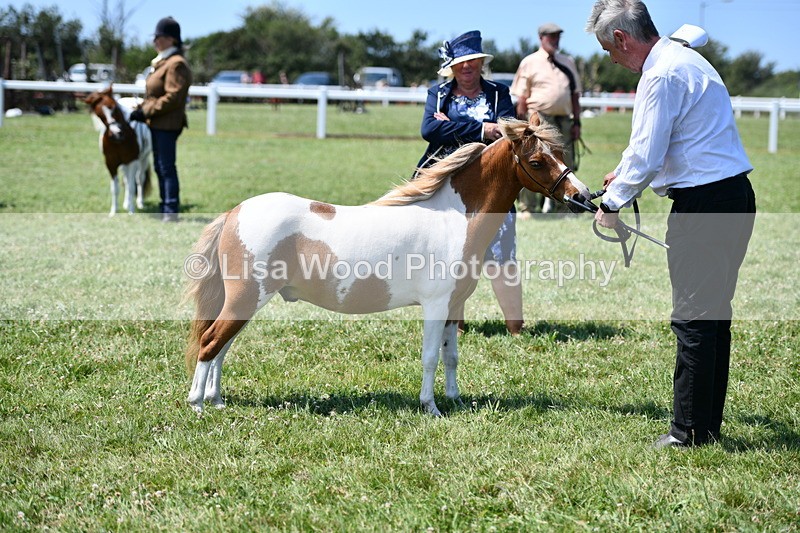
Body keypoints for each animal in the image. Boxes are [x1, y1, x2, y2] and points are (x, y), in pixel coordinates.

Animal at [84, 86, 152, 216]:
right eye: (99, 114)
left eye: (113, 107)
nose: (116, 134)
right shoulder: (111, 163)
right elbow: (115, 188)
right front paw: (113, 212)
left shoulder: (132, 161)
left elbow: (132, 186)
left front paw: (131, 211)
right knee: (126, 180)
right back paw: (126, 203)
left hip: (143, 159)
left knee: (139, 179)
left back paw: (139, 203)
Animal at [184, 115, 591, 416]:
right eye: (537, 161)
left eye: (559, 151)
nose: (582, 197)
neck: (453, 218)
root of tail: (234, 213)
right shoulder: (435, 305)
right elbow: (430, 357)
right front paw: (431, 407)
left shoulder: (453, 307)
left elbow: (451, 356)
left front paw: (456, 400)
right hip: (246, 299)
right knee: (210, 342)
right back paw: (197, 405)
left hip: (245, 303)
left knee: (222, 346)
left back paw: (217, 401)